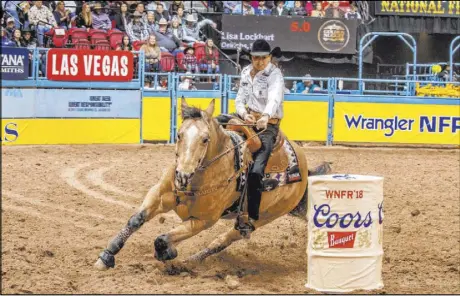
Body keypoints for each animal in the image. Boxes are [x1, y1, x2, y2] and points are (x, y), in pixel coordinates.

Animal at [94, 99, 330, 270]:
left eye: (205, 139)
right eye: (179, 134)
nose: (182, 175)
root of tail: (303, 168)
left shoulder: (203, 220)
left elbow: (161, 239)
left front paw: (168, 252)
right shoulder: (158, 195)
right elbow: (136, 220)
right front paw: (106, 256)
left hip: (263, 217)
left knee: (222, 240)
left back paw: (187, 262)